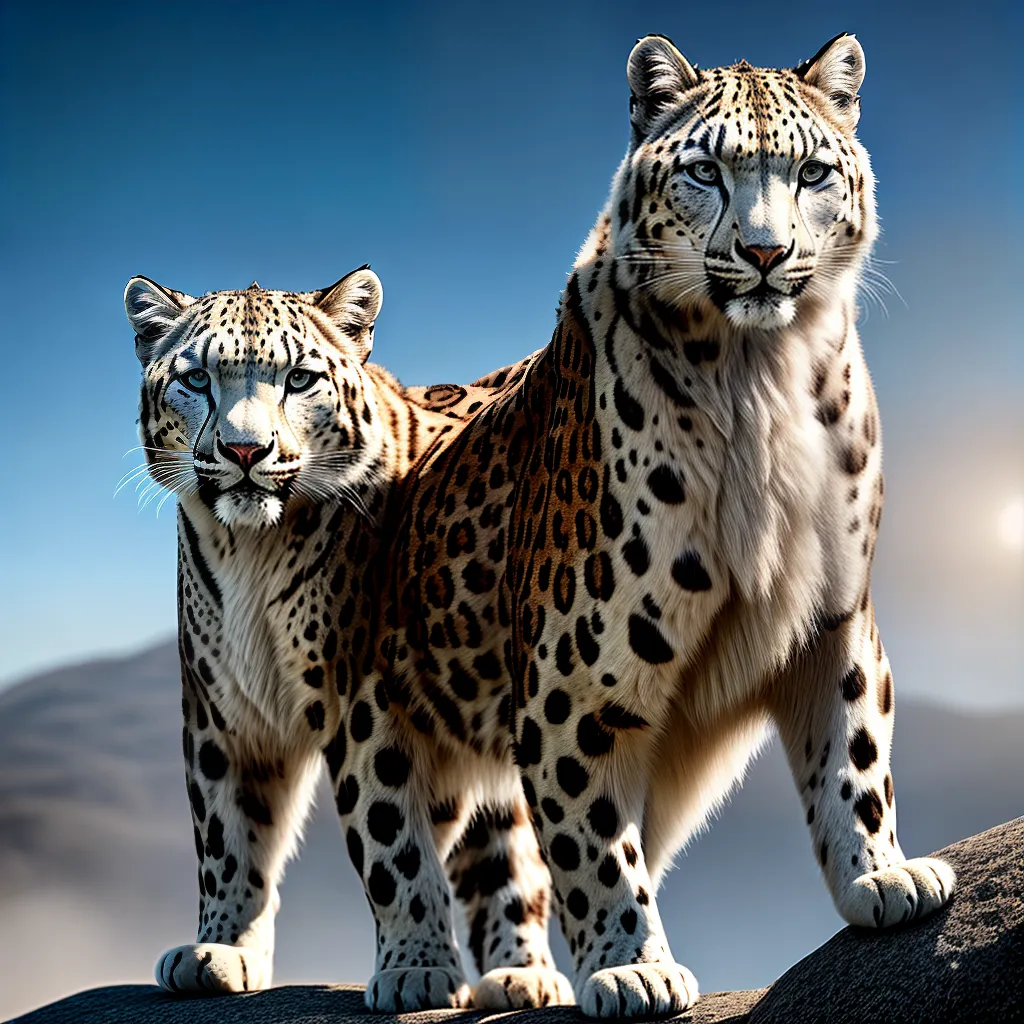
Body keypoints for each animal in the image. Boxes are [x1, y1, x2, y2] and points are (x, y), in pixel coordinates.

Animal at [122, 268, 562, 1005]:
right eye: (198, 379)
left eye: (299, 379)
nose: (245, 451)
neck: (251, 553)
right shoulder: (222, 710)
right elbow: (227, 834)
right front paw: (221, 951)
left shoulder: (366, 696)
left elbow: (393, 843)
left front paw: (415, 969)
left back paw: (522, 975)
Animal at [326, 32, 956, 1017]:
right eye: (705, 170)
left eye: (813, 172)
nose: (765, 251)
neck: (761, 376)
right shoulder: (574, 685)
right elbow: (593, 840)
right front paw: (633, 966)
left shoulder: (835, 615)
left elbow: (853, 751)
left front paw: (882, 877)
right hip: (375, 719)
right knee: (395, 839)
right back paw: (420, 970)